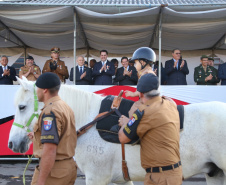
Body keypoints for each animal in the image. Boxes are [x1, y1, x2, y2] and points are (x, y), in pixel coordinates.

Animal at [7, 77, 226, 184]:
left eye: (22, 107)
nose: (12, 143)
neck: (90, 119)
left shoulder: (96, 177)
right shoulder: (121, 179)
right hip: (215, 174)